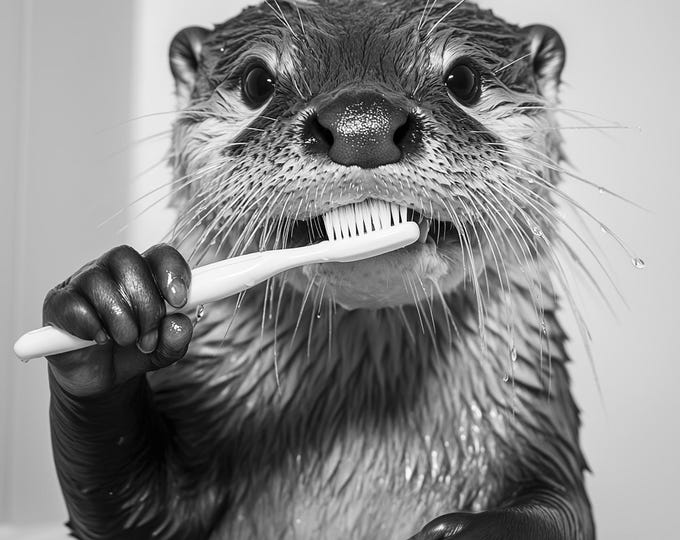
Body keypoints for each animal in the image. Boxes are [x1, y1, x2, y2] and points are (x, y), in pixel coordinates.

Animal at [42, 1, 595, 538]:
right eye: (257, 82)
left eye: (464, 79)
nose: (363, 126)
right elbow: (131, 509)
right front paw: (111, 304)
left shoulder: (537, 424)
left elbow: (563, 510)